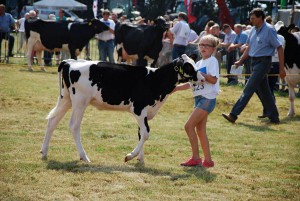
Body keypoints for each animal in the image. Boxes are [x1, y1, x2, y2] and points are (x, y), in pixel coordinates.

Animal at [40, 54, 204, 163]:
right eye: (189, 66)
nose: (203, 78)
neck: (154, 80)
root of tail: (69, 61)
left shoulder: (145, 113)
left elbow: (140, 133)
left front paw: (140, 159)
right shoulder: (139, 109)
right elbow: (146, 133)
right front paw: (130, 156)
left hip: (65, 99)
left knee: (52, 121)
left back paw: (44, 152)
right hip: (80, 101)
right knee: (74, 126)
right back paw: (84, 156)